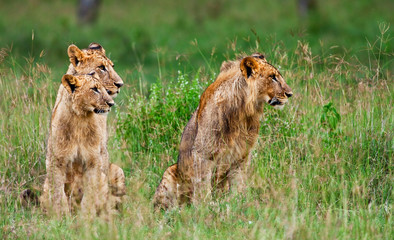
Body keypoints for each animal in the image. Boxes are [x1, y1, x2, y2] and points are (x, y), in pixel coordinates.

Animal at [154, 53, 292, 209]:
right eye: (273, 77)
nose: (290, 94)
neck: (243, 113)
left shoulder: (242, 154)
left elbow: (238, 183)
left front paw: (237, 203)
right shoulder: (202, 154)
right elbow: (203, 186)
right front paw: (204, 208)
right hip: (170, 171)